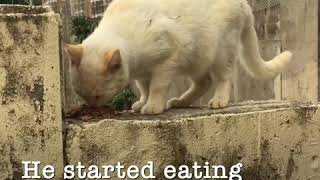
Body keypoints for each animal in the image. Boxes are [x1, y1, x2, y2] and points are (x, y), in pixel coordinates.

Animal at [64, 0, 292, 114]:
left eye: (97, 96)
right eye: (81, 95)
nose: (92, 108)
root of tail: (245, 4)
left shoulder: (166, 61)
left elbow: (156, 87)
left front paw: (153, 107)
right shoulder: (142, 73)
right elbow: (144, 89)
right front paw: (142, 102)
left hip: (219, 52)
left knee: (223, 79)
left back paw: (218, 101)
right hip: (197, 59)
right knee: (204, 82)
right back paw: (180, 102)